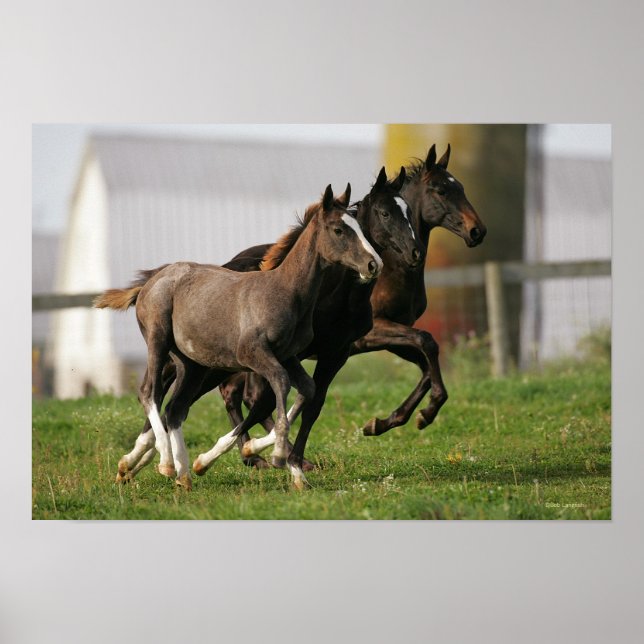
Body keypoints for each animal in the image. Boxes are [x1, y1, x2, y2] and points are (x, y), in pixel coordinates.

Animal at [95, 184, 383, 490]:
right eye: (339, 230)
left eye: (359, 226)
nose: (373, 264)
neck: (286, 291)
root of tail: (150, 281)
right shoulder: (253, 354)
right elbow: (281, 384)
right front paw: (277, 455)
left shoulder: (287, 355)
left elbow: (307, 389)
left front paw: (292, 471)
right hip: (158, 341)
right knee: (150, 392)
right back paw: (165, 463)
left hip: (192, 364)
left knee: (175, 409)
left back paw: (183, 474)